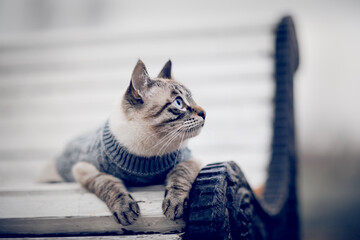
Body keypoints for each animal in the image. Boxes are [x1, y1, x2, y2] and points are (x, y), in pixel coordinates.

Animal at [39, 59, 205, 225]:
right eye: (179, 103)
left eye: (192, 99)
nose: (204, 113)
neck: (147, 153)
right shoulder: (84, 169)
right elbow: (108, 183)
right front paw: (125, 209)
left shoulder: (190, 160)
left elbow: (179, 175)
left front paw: (175, 204)